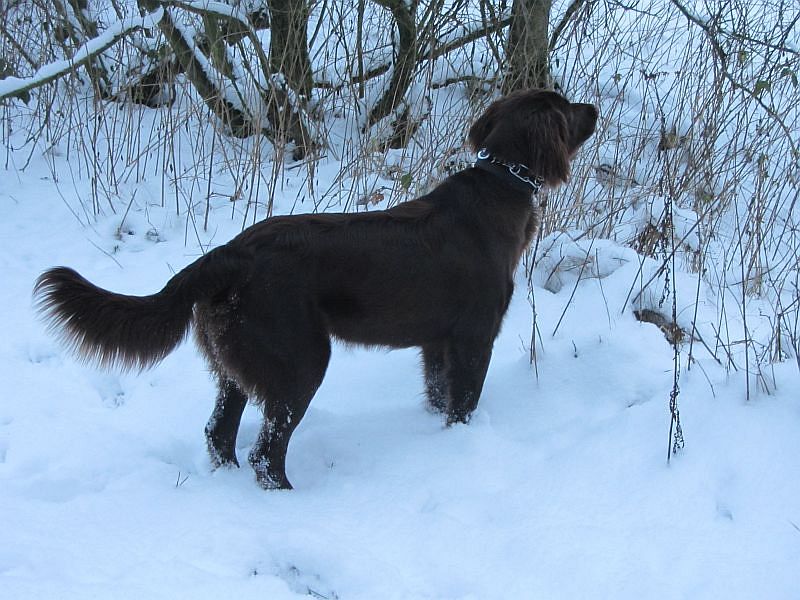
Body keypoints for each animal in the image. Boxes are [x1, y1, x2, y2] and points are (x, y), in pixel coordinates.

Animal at [34, 89, 597, 489]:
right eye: (567, 107)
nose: (593, 107)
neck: (500, 185)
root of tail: (231, 253)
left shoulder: (436, 343)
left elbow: (439, 396)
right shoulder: (473, 338)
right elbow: (463, 404)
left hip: (235, 361)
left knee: (220, 434)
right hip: (298, 361)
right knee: (266, 452)